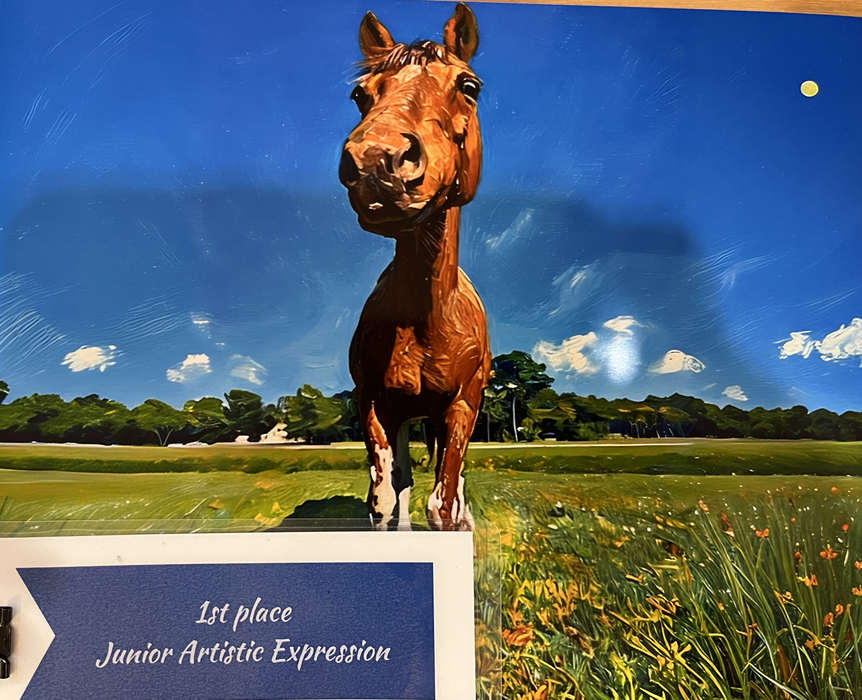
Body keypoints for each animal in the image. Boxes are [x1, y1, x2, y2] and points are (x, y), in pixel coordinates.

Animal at [338, 3, 490, 530]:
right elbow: (386, 500)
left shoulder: (462, 407)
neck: (426, 319)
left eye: (469, 85)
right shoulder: (375, 404)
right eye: (359, 94)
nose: (375, 161)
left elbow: (443, 504)